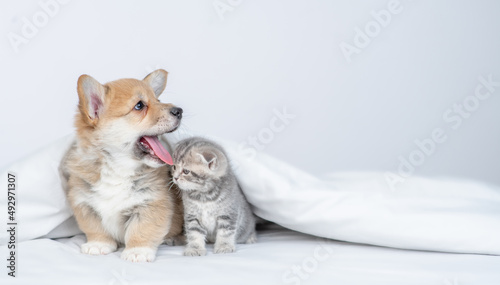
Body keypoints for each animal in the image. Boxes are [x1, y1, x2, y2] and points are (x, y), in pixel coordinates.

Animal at [59, 69, 184, 262]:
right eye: (139, 106)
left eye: (158, 100)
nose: (179, 111)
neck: (117, 167)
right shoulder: (84, 204)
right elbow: (95, 228)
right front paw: (98, 244)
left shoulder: (152, 203)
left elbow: (141, 230)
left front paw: (137, 251)